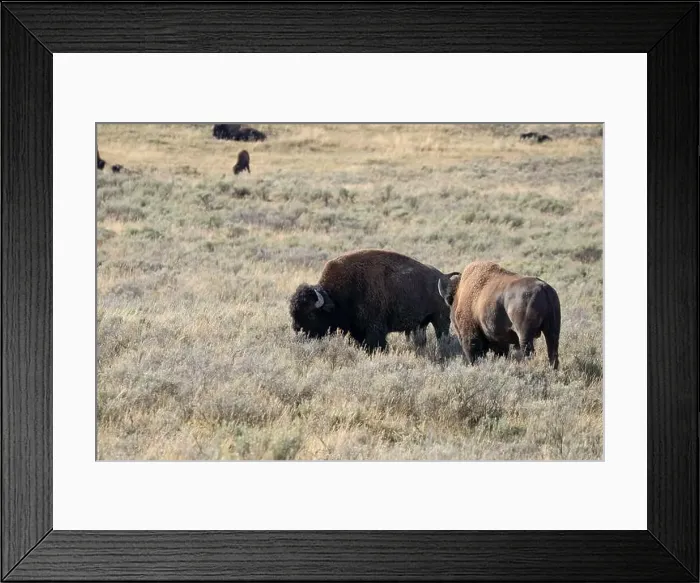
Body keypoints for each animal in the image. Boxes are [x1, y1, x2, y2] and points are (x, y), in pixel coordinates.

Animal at [290, 249, 459, 353]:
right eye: (292, 313)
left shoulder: (374, 329)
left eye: (311, 314)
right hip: (422, 324)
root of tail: (444, 277)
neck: (335, 296)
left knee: (442, 337)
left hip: (440, 320)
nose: (298, 331)